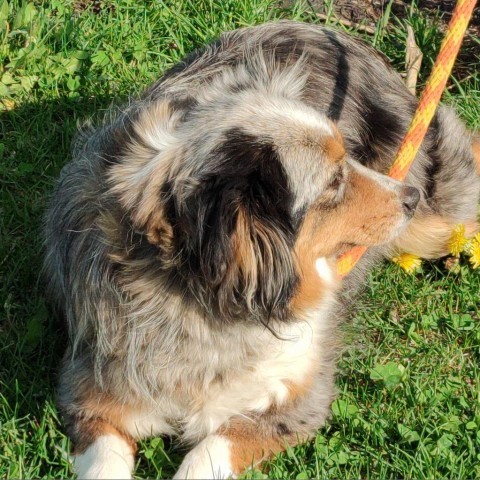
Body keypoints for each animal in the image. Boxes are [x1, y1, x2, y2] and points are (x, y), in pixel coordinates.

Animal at [44, 20, 480, 478]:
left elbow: (206, 452)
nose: (410, 197)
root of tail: (335, 33)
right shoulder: (88, 390)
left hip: (435, 221)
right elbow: (105, 461)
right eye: (333, 181)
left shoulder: (301, 393)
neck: (205, 309)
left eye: (349, 159)